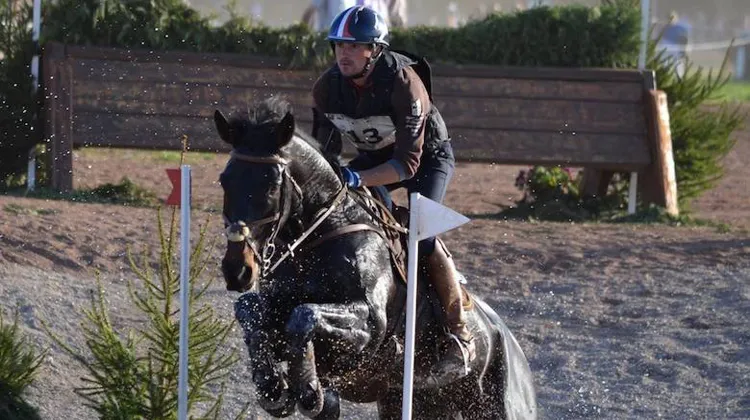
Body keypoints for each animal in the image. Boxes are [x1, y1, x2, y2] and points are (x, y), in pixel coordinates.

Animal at [215, 96, 537, 419]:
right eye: (224, 181)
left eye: (271, 185)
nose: (237, 270)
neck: (321, 236)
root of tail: (506, 337)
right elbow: (250, 310)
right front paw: (273, 388)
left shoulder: (369, 325)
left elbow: (305, 315)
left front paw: (308, 388)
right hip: (416, 401)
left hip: (497, 404)